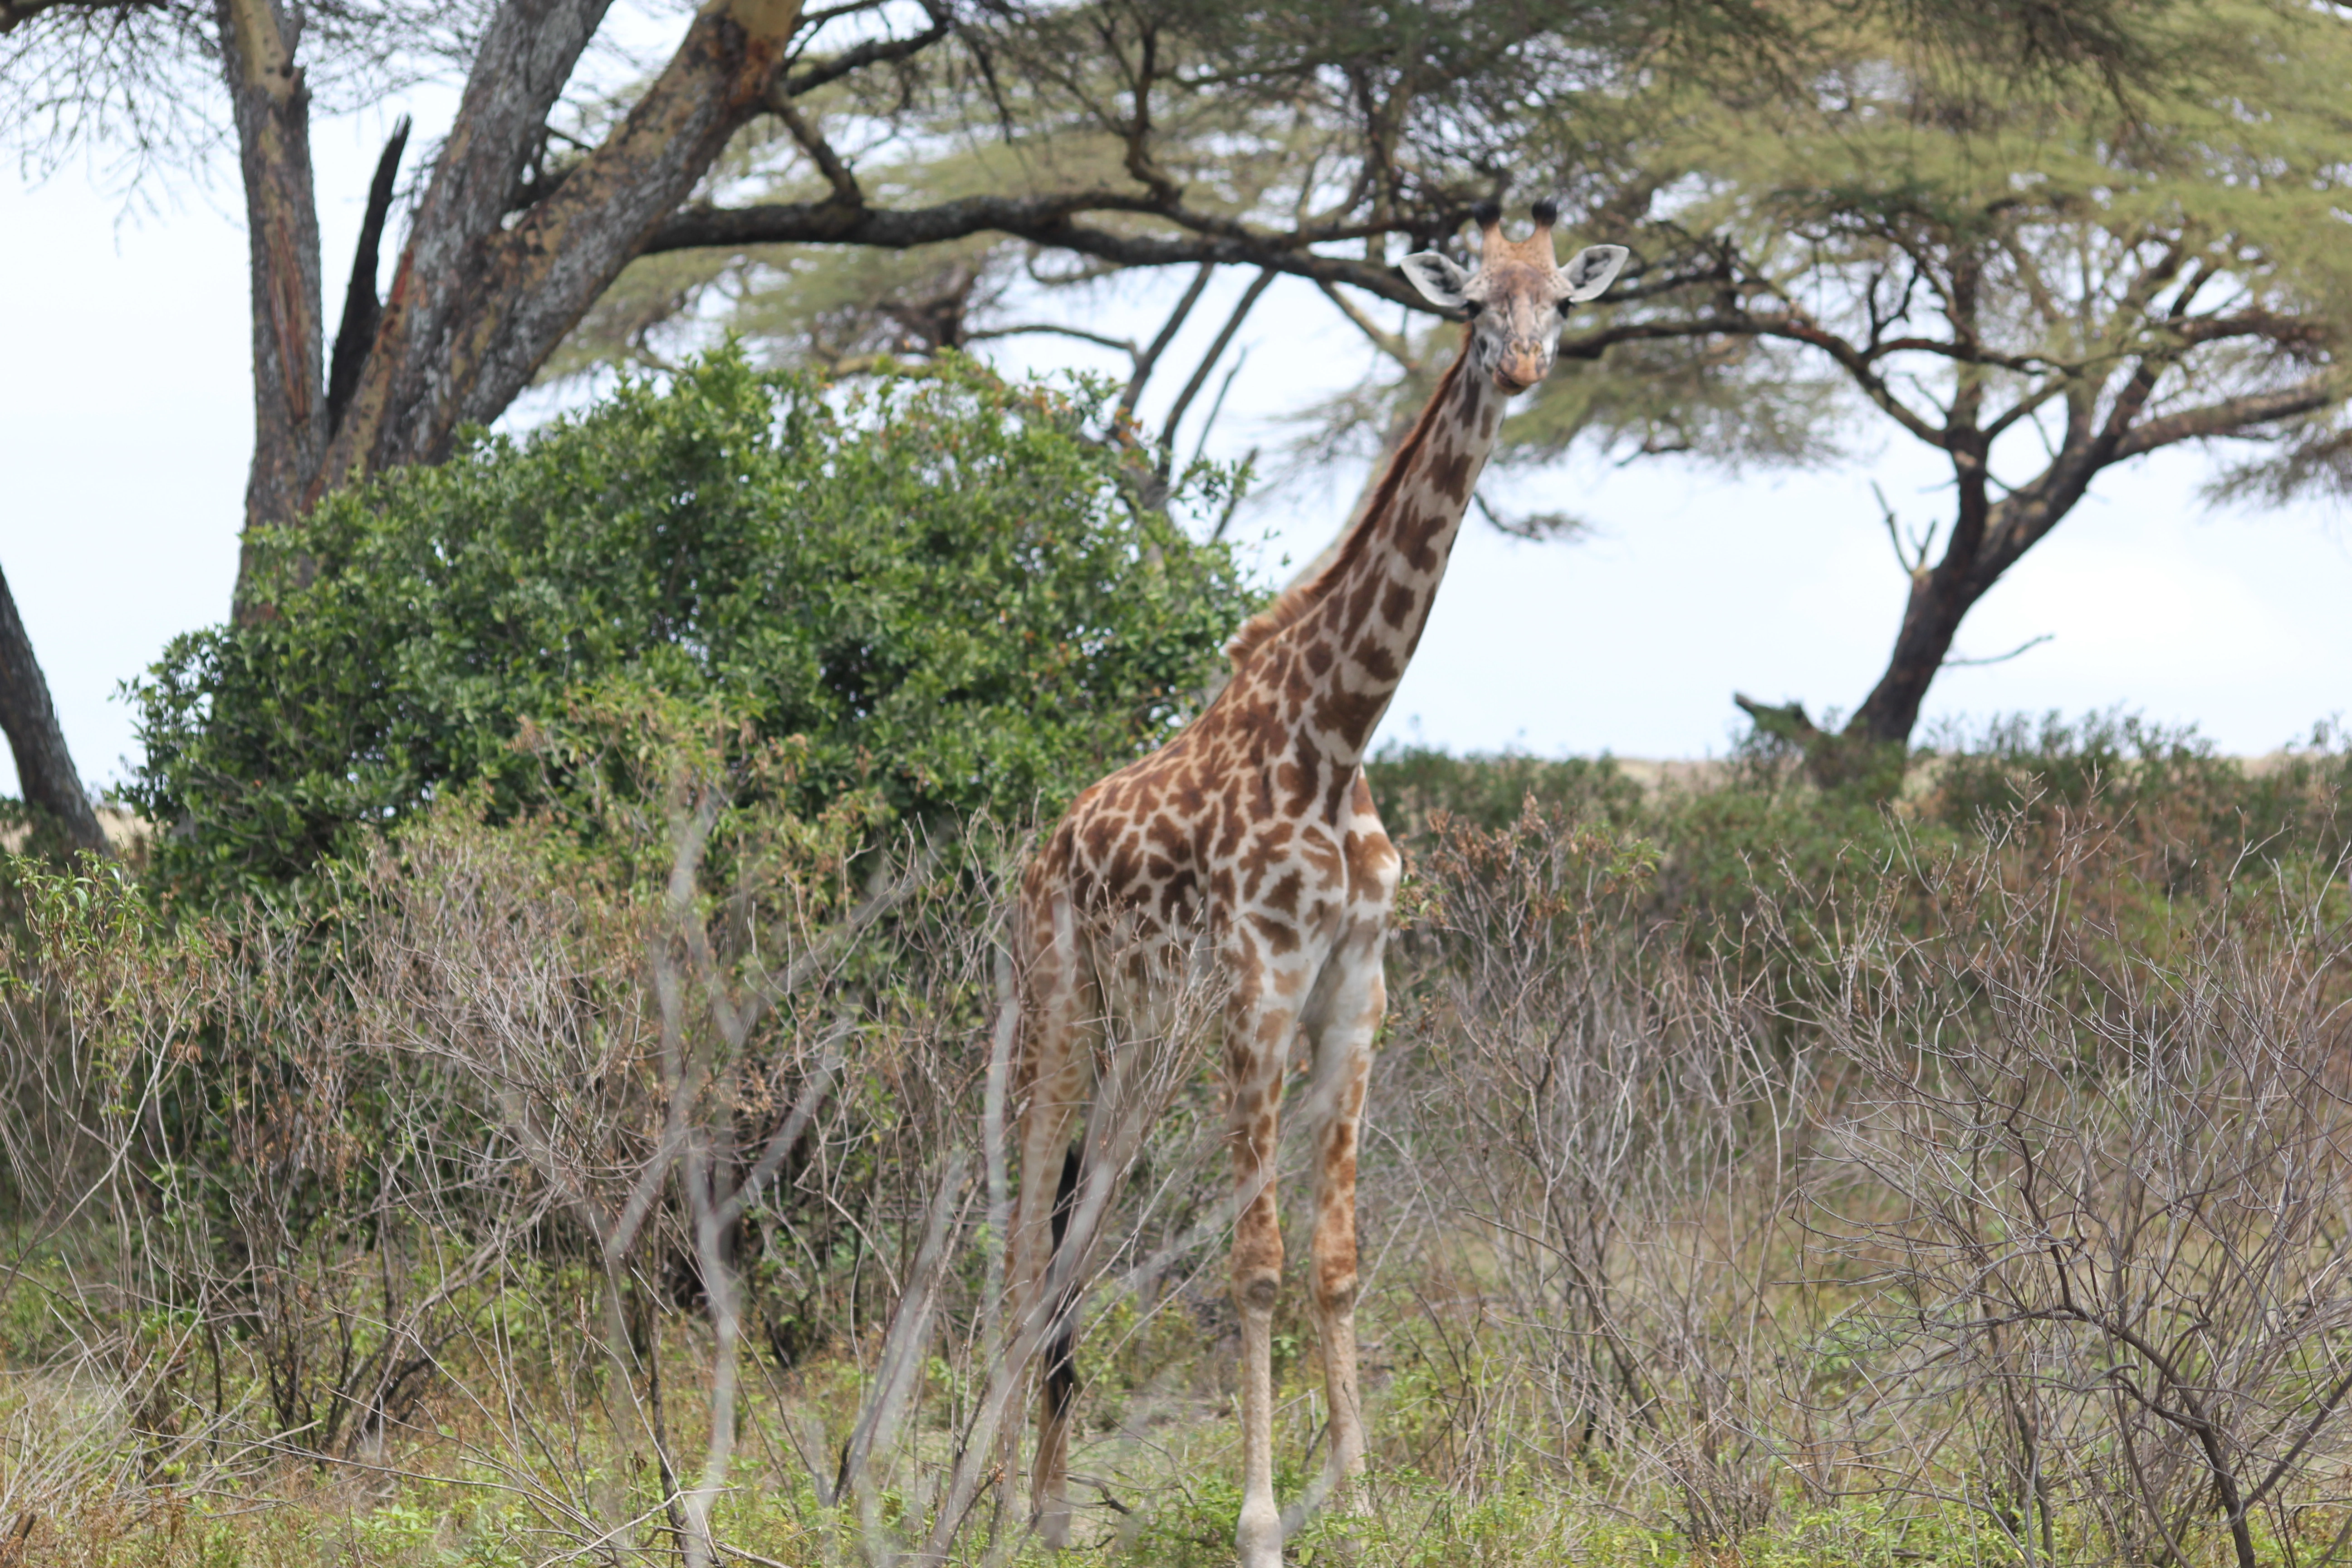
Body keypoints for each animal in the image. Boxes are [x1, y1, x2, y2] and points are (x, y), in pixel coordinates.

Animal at [1007, 201, 1627, 1566]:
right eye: (1472, 304)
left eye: (1560, 300)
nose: (1521, 369)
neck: (1337, 730)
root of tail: (1048, 842)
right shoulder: (1259, 985)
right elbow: (1256, 1261)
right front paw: (1259, 1522)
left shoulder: (1356, 989)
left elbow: (1337, 1258)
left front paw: (1360, 1499)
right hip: (1060, 1004)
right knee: (1027, 1223)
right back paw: (1014, 1505)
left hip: (1145, 1041)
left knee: (1080, 1226)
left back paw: (1053, 1499)